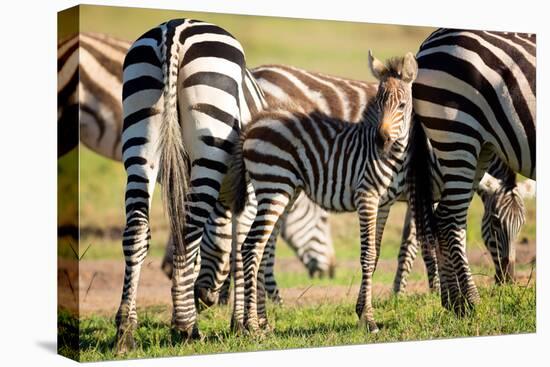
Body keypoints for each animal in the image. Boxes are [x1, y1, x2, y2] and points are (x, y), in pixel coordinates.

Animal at [231, 50, 420, 334]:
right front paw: (369, 319)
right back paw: (252, 326)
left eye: (402, 106)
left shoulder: (384, 203)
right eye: (377, 104)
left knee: (262, 248)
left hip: (285, 191)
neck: (393, 158)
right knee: (251, 246)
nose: (381, 141)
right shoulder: (366, 196)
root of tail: (254, 124)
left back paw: (262, 322)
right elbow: (367, 255)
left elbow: (376, 254)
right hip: (273, 187)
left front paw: (362, 310)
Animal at [412, 28, 536, 316]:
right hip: (457, 133)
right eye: (495, 223)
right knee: (449, 219)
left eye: (521, 225)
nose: (508, 280)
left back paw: (454, 302)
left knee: (444, 219)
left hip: (479, 149)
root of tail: (428, 40)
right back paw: (470, 302)